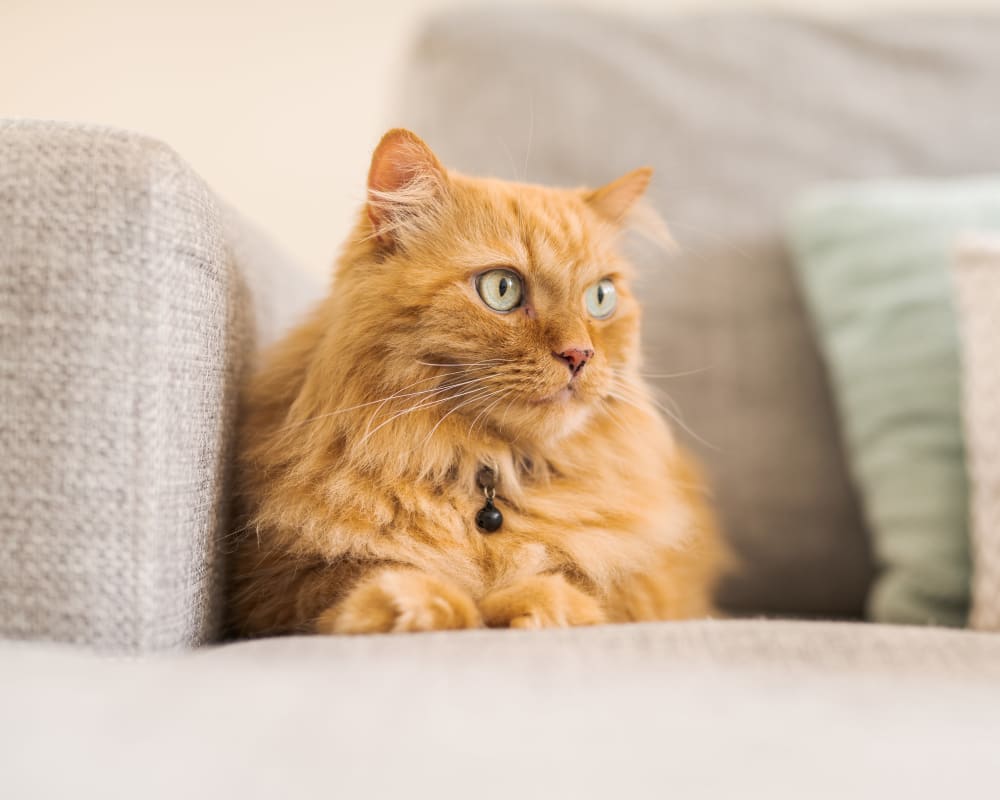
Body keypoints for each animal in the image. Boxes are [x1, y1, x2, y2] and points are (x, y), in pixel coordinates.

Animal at [229, 128, 728, 636]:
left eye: (601, 298)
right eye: (502, 289)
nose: (580, 354)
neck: (485, 473)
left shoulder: (655, 585)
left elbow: (590, 588)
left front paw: (538, 606)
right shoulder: (272, 585)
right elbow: (348, 579)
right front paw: (412, 606)